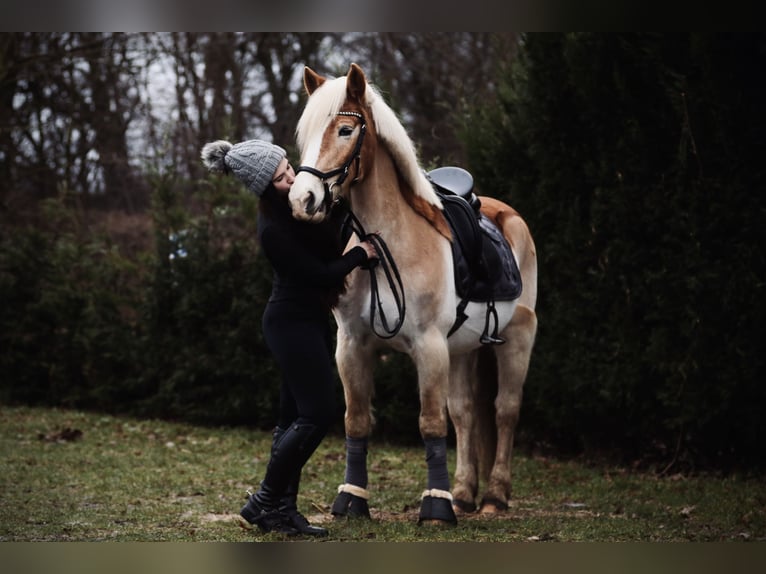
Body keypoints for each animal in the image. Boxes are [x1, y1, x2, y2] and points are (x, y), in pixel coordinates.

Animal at [290, 63, 540, 528]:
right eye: (307, 134)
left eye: (346, 130)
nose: (303, 199)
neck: (387, 244)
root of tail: (507, 215)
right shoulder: (352, 347)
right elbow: (357, 421)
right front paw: (351, 500)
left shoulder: (429, 348)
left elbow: (430, 424)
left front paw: (435, 506)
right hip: (465, 349)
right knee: (466, 412)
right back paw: (464, 494)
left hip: (517, 340)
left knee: (505, 410)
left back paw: (494, 496)